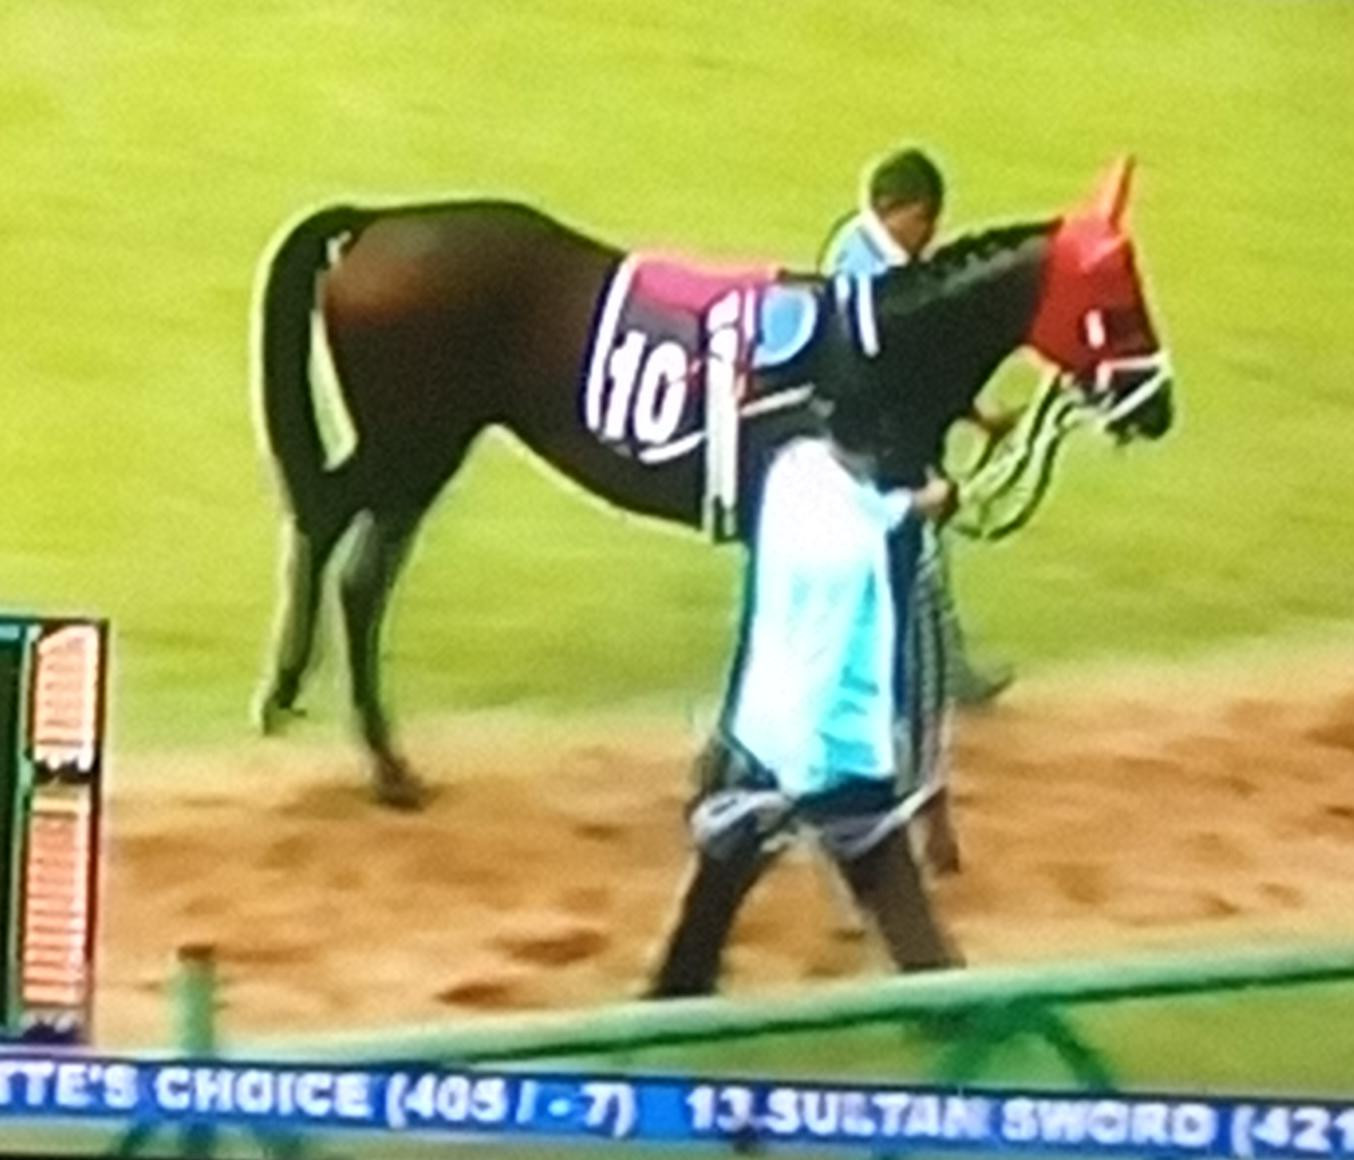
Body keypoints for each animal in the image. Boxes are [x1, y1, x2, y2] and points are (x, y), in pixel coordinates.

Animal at [252, 158, 1173, 808]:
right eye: (1122, 303)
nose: (1160, 406)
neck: (867, 355)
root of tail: (378, 224)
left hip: (422, 453)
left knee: (361, 569)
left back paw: (370, 750)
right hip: (412, 441)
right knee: (330, 526)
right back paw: (325, 720)